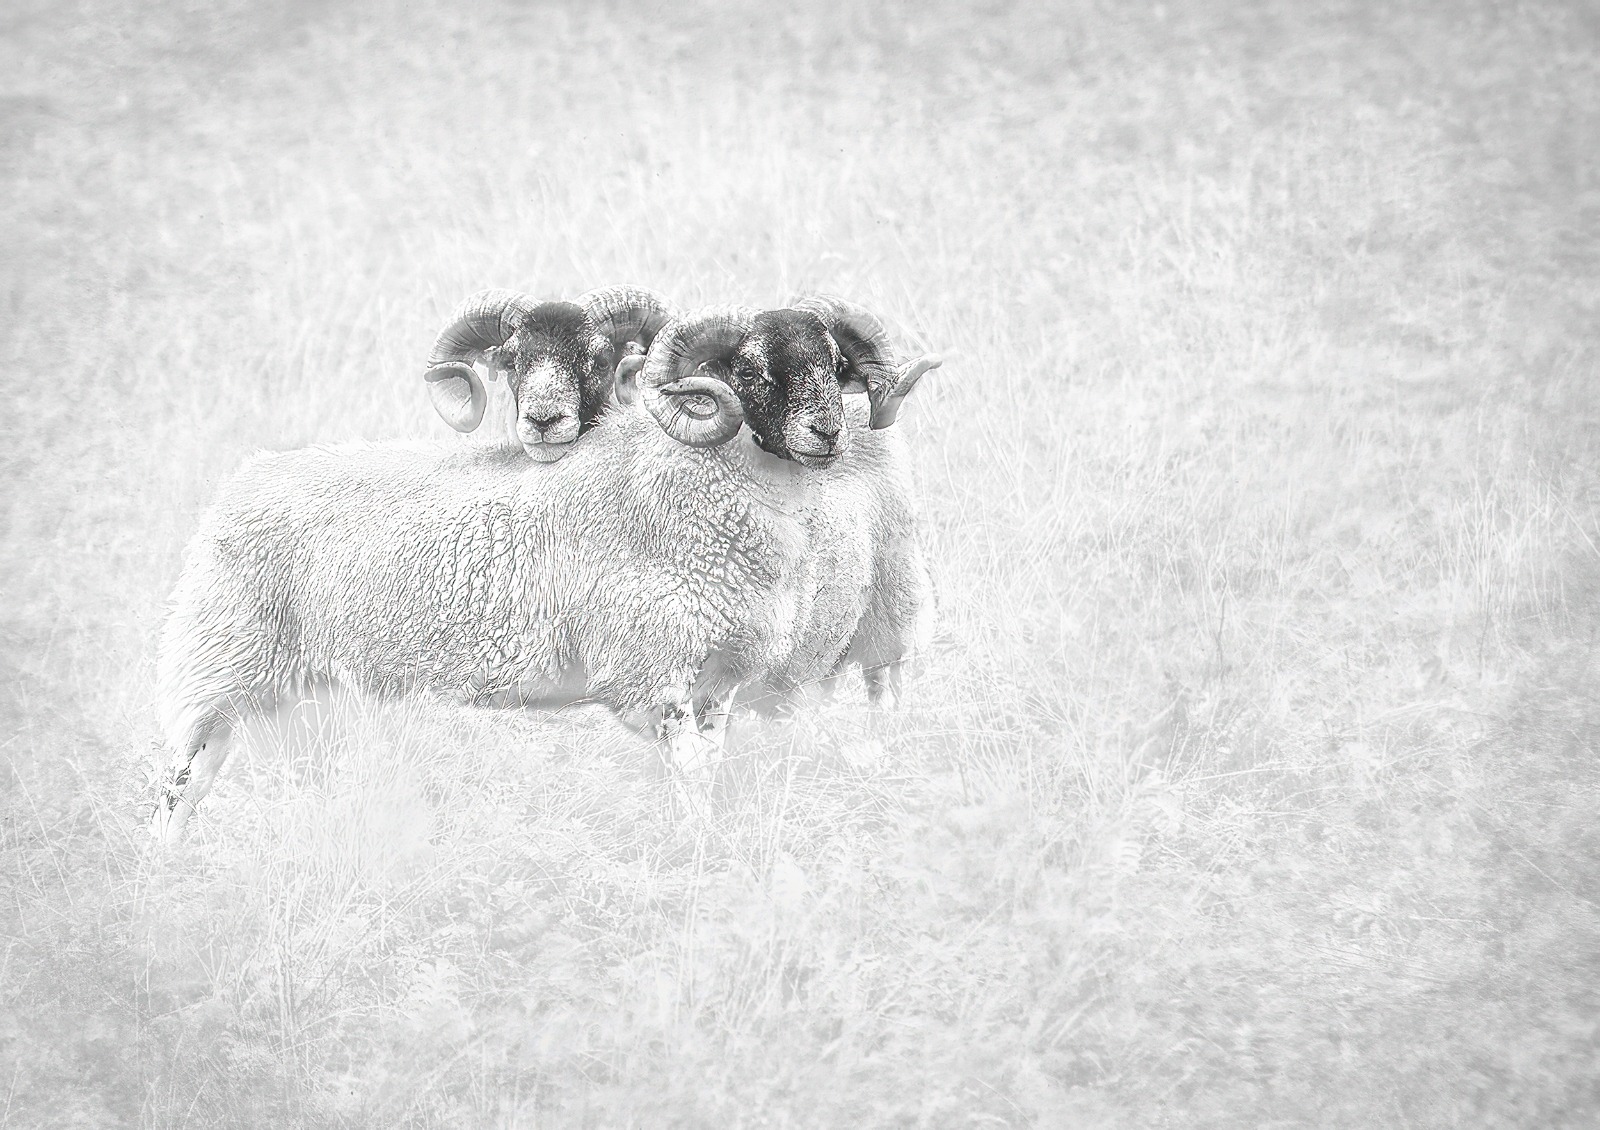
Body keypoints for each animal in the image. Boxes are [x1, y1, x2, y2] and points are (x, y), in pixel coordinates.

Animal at [150, 303, 941, 840]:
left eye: (835, 365)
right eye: (749, 369)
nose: (828, 432)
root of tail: (242, 481)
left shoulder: (716, 677)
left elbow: (708, 769)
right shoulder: (647, 671)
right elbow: (688, 775)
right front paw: (698, 851)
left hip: (291, 691)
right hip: (221, 659)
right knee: (177, 783)